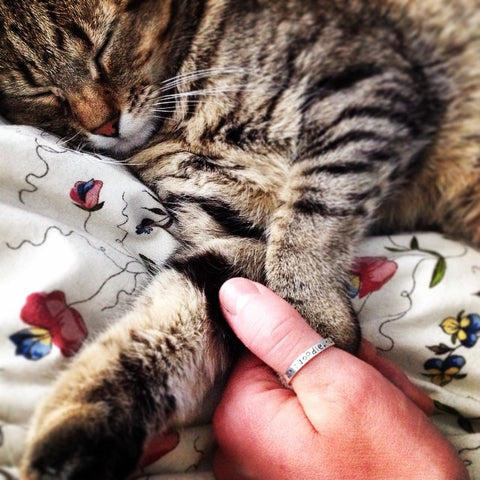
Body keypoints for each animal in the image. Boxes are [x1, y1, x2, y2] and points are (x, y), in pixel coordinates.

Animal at [0, 0, 480, 478]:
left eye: (104, 46)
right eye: (39, 91)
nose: (104, 125)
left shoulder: (363, 91)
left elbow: (312, 209)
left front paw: (314, 316)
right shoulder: (234, 234)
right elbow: (171, 316)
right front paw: (84, 428)